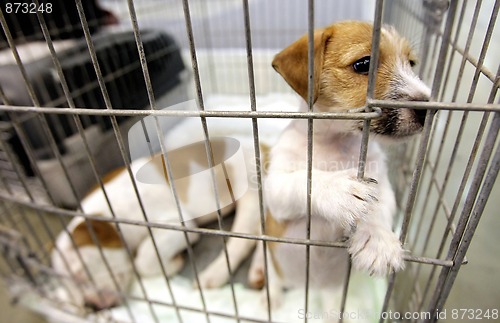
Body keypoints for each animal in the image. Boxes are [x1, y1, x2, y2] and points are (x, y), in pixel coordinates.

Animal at [252, 20, 432, 308]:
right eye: (364, 64)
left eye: (411, 63)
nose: (427, 110)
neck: (334, 141)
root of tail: (310, 288)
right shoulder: (276, 188)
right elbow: (304, 179)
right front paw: (340, 190)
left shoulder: (381, 180)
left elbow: (379, 205)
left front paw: (377, 239)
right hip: (274, 265)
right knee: (274, 282)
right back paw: (268, 301)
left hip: (334, 296)